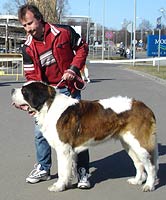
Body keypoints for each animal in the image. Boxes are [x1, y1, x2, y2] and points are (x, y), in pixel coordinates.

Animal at [11, 81, 159, 192]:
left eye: (24, 91)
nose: (12, 90)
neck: (49, 106)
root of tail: (145, 107)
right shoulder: (69, 151)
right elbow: (69, 168)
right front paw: (67, 183)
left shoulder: (63, 149)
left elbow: (62, 170)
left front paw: (58, 186)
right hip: (128, 143)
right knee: (139, 163)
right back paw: (137, 181)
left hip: (140, 144)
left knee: (151, 166)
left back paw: (149, 185)